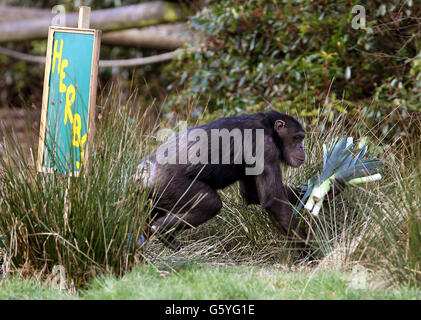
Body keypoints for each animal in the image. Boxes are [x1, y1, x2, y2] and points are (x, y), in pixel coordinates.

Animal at [135, 110, 342, 255]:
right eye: (297, 137)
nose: (301, 147)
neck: (270, 130)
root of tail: (144, 171)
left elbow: (252, 194)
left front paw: (330, 187)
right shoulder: (265, 147)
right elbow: (274, 200)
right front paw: (311, 252)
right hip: (169, 185)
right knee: (210, 203)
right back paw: (162, 232)